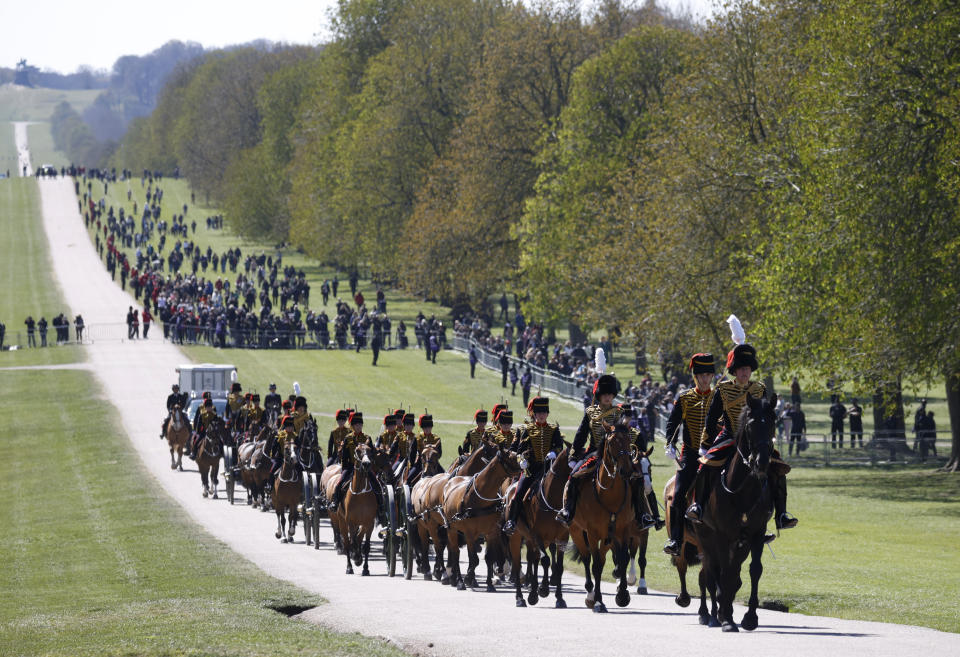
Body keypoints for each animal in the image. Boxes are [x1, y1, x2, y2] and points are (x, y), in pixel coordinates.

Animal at [440, 446, 520, 588]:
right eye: (511, 459)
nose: (523, 471)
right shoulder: (470, 533)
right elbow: (473, 559)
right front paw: (468, 578)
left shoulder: (492, 532)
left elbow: (488, 557)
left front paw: (489, 584)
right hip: (451, 529)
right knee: (455, 552)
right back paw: (458, 580)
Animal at [506, 444, 568, 608]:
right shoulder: (538, 535)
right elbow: (545, 560)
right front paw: (543, 589)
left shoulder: (562, 538)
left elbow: (559, 567)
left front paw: (559, 598)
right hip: (516, 537)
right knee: (517, 564)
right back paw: (520, 597)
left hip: (532, 540)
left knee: (533, 559)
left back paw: (533, 590)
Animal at [568, 422, 636, 612]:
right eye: (612, 442)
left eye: (629, 440)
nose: (626, 470)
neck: (610, 493)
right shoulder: (593, 533)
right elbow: (596, 565)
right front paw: (598, 601)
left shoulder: (623, 530)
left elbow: (623, 559)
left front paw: (622, 595)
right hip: (577, 531)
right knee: (587, 558)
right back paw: (590, 595)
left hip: (608, 537)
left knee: (605, 557)